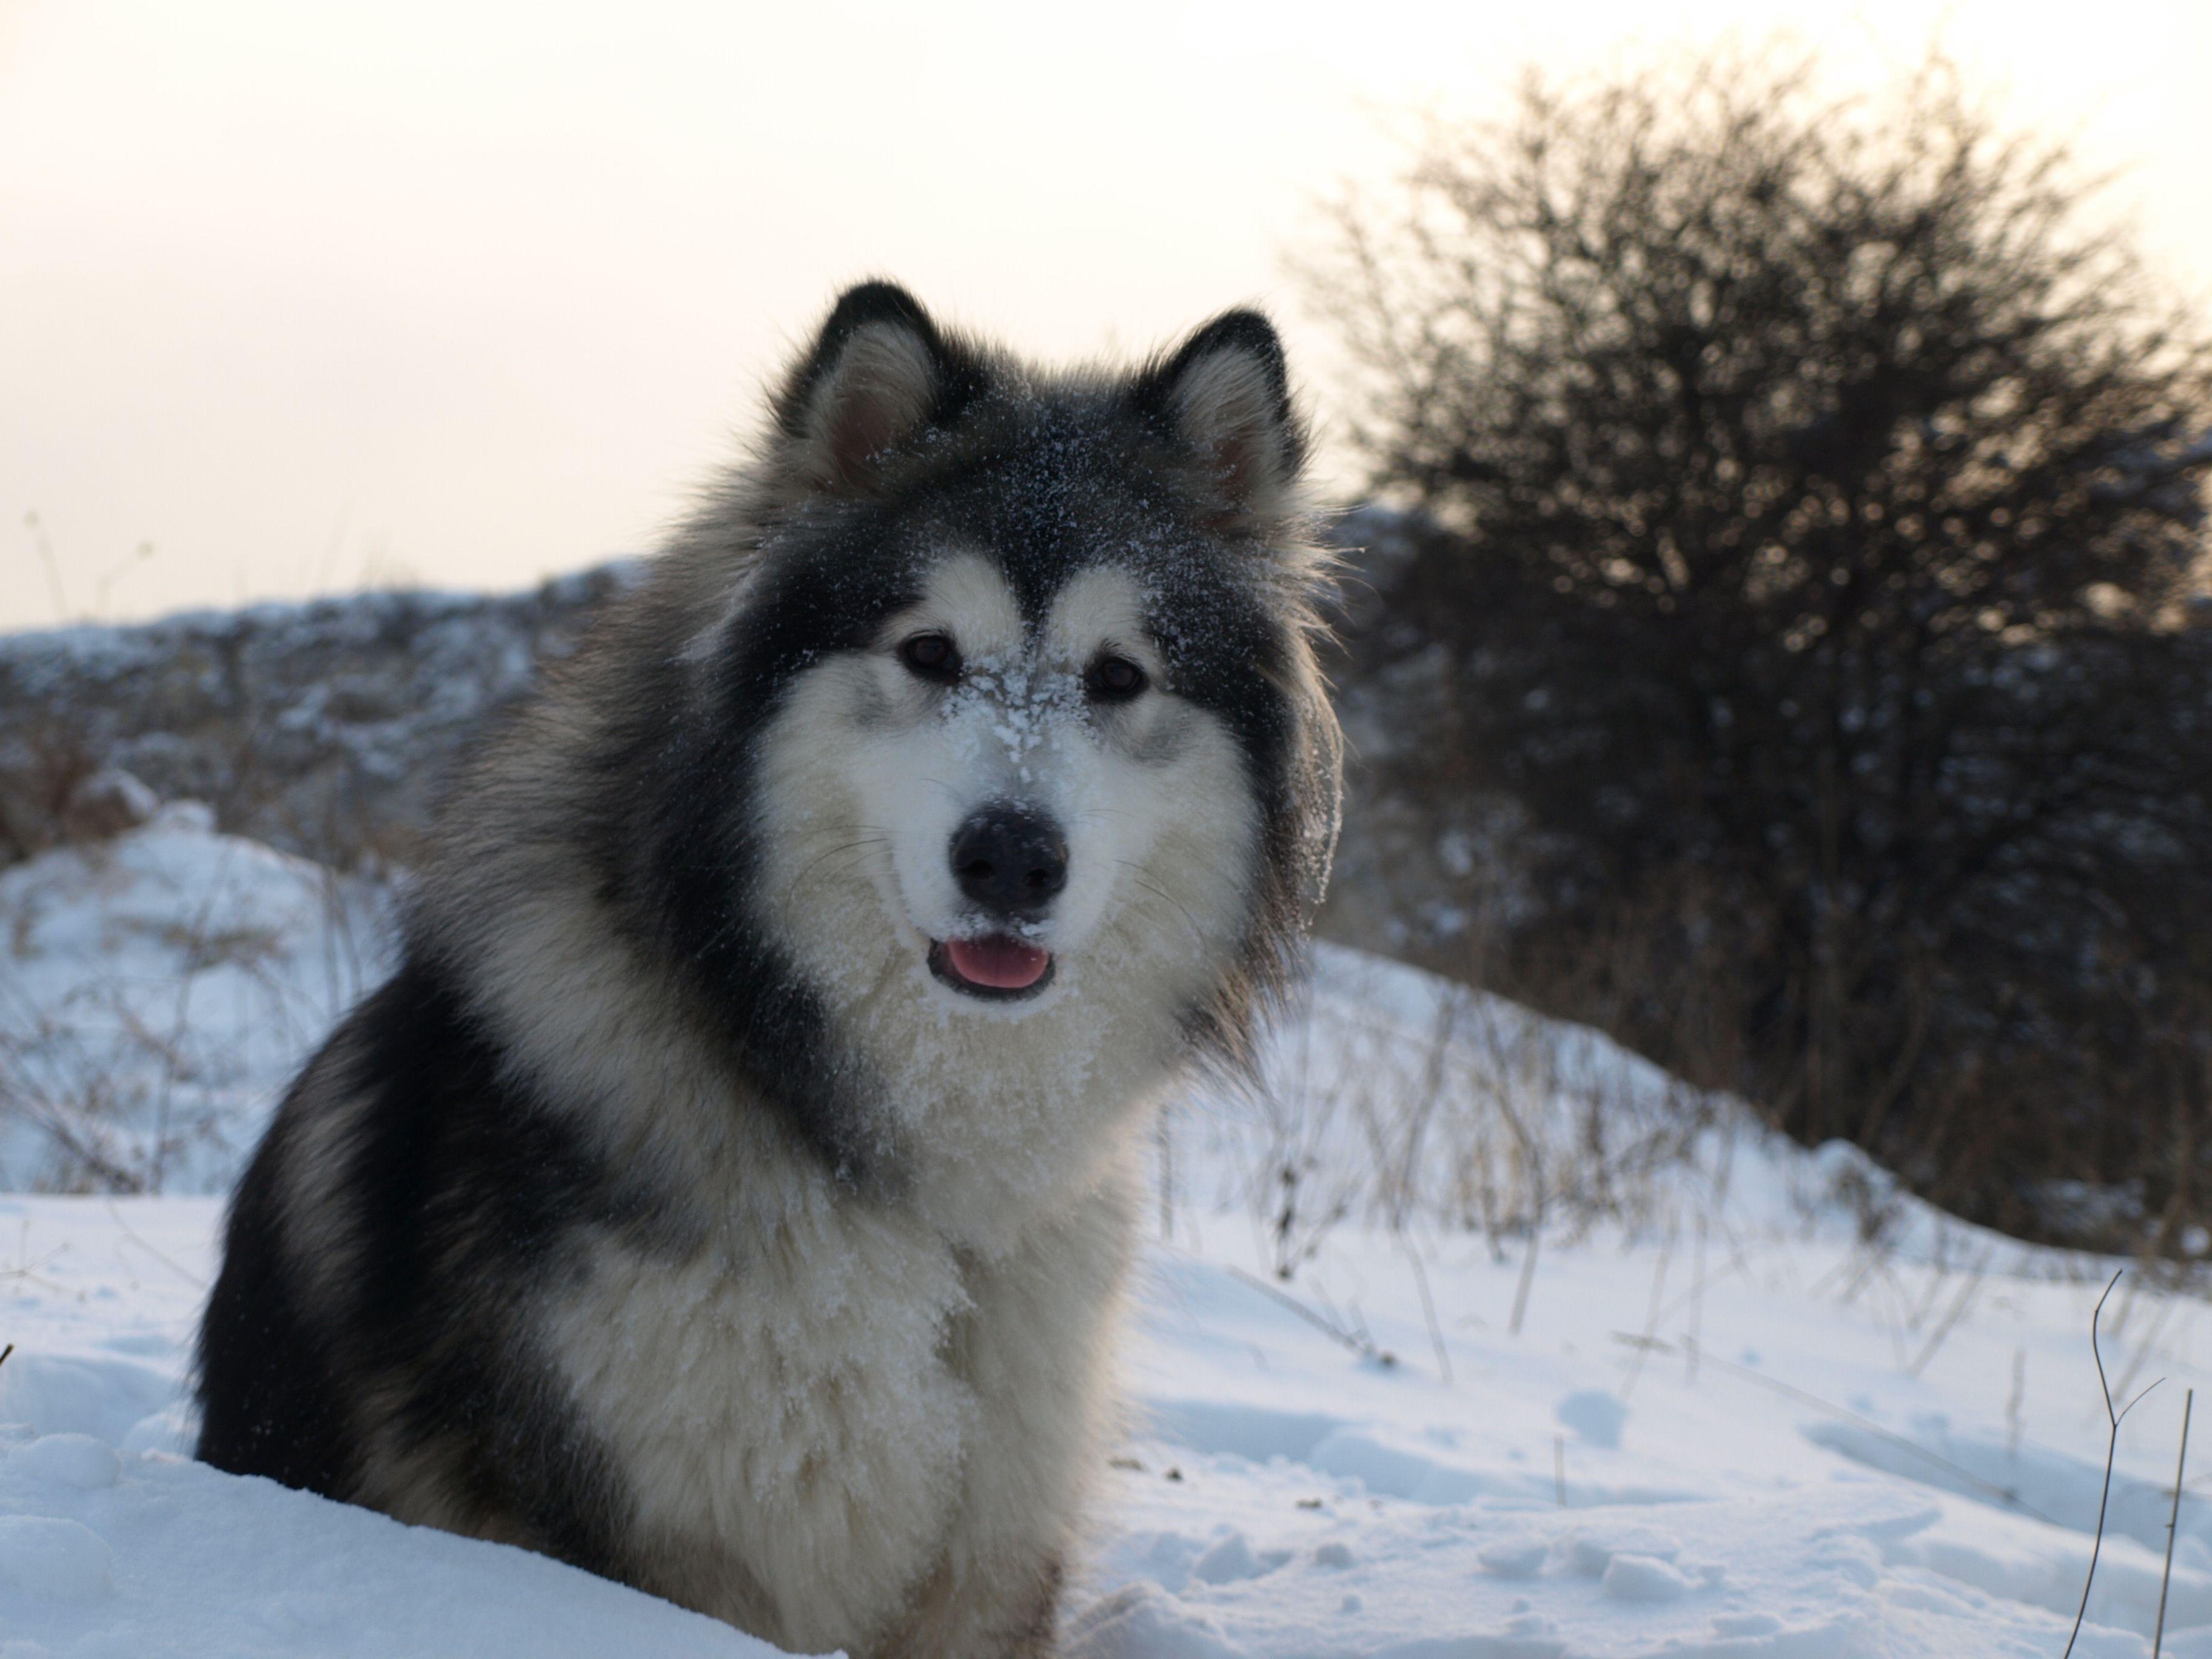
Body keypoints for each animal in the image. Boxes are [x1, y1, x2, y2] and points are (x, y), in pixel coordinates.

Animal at [199, 285, 1336, 1659]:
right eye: (929, 653)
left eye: (1119, 676)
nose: (1011, 857)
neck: (905, 1194)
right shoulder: (677, 1547)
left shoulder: (991, 1549)